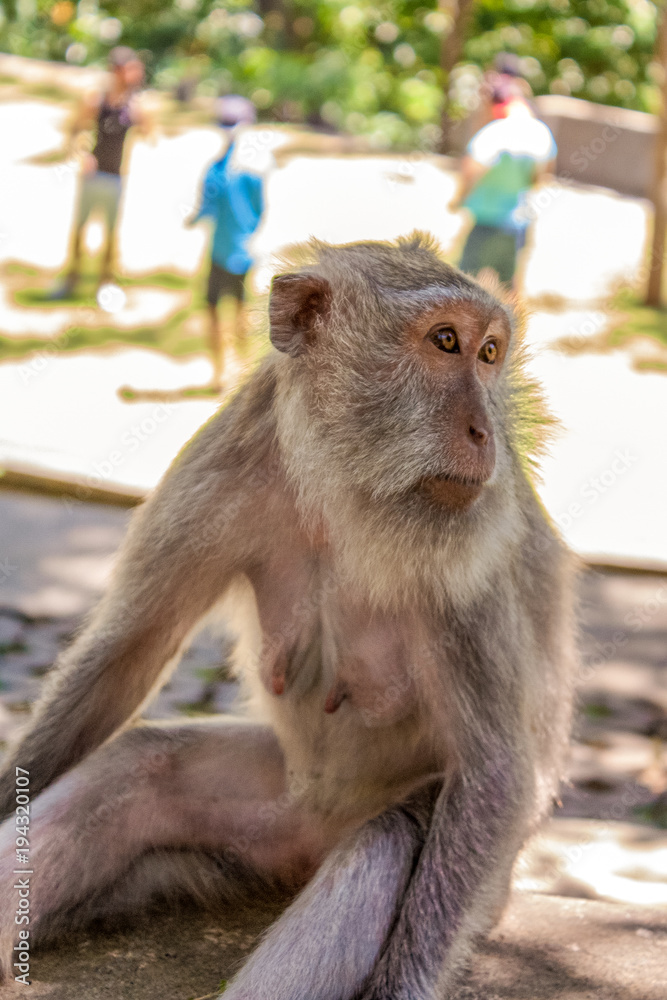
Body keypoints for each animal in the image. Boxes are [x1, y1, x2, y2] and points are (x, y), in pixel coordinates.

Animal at [0, 234, 576, 999]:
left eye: (488, 354)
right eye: (446, 341)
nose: (487, 433)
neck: (346, 483)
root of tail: (308, 838)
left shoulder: (474, 553)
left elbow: (495, 771)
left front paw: (402, 986)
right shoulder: (226, 458)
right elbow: (129, 648)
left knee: (386, 842)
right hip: (269, 808)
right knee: (137, 766)